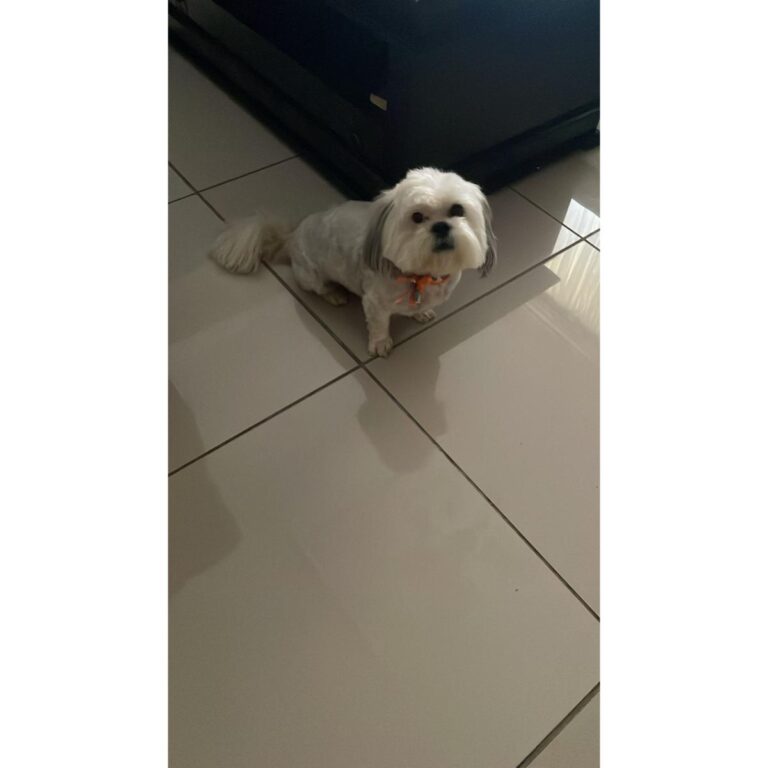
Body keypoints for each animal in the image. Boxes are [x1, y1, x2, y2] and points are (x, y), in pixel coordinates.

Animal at [209, 167, 497, 356]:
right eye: (416, 217)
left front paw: (420, 312)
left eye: (457, 210)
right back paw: (334, 294)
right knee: (318, 287)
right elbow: (379, 325)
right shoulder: (374, 303)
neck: (422, 274)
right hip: (310, 275)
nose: (441, 226)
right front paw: (380, 344)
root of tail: (293, 235)